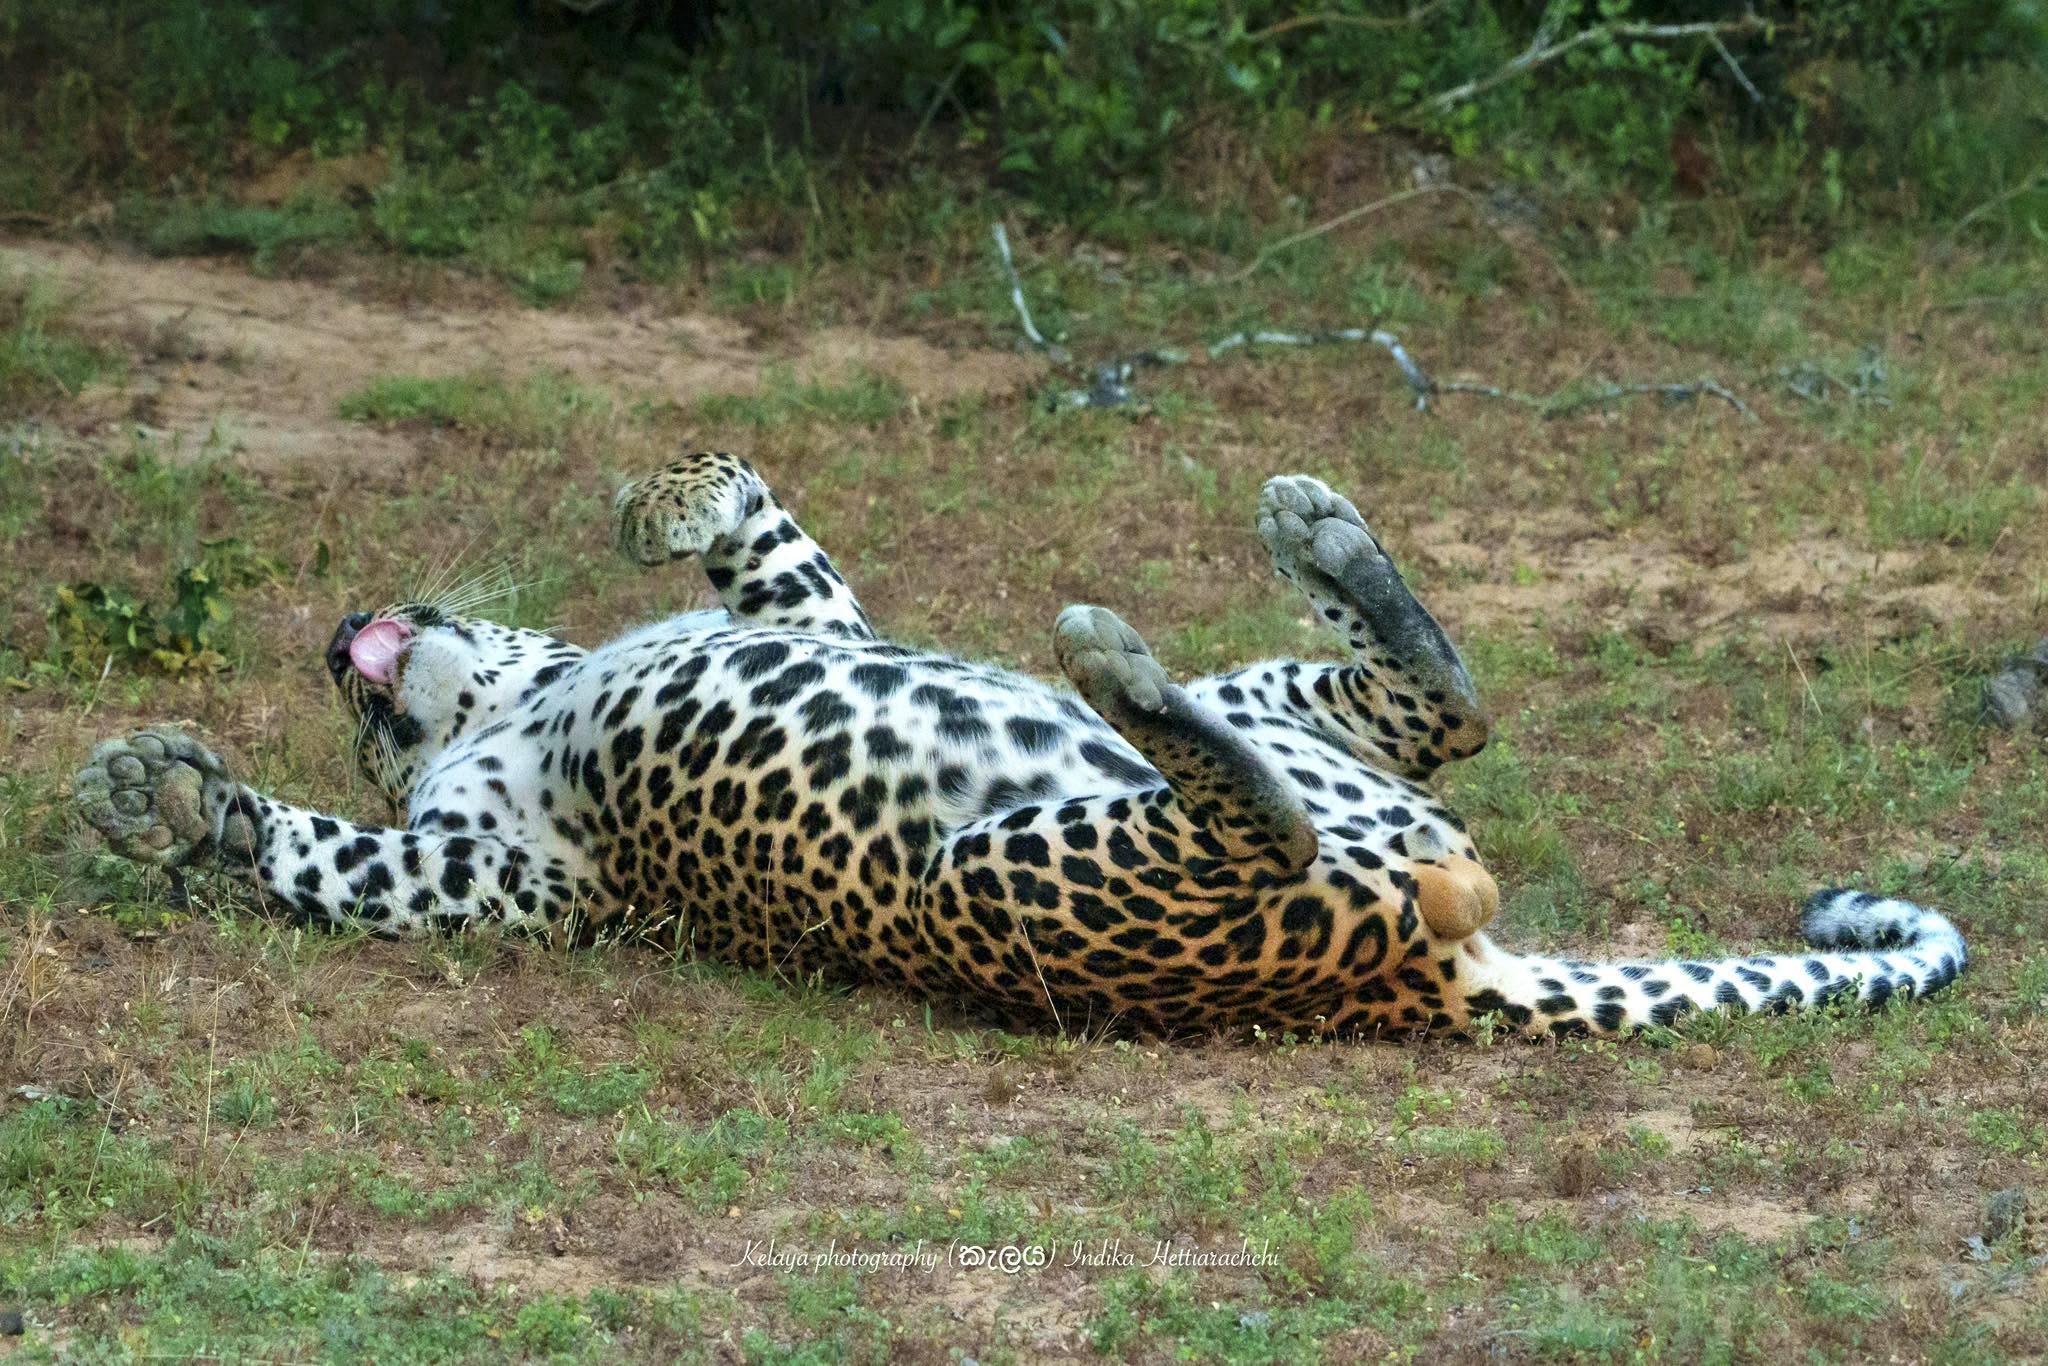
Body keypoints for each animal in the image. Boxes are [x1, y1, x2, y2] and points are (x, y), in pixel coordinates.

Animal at [73, 454, 1967, 1038]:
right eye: (350, 731)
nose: (336, 641)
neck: (514, 700)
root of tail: (1435, 975)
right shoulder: (500, 878)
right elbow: (326, 857)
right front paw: (161, 799)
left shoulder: (824, 619)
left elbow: (766, 535)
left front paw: (663, 501)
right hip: (1002, 875)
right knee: (1304, 806)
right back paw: (1124, 656)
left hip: (1270, 740)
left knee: (1441, 704)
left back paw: (1305, 533)